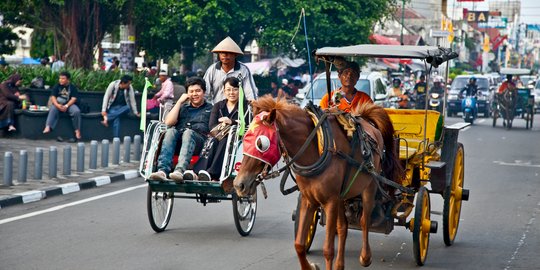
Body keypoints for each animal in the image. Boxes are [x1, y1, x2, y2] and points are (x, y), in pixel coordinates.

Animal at [234, 96, 402, 268]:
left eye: (261, 144)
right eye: (245, 138)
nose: (239, 184)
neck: (317, 150)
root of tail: (368, 123)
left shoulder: (330, 201)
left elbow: (328, 249)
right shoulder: (309, 200)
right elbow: (299, 244)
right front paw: (310, 266)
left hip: (370, 186)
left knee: (364, 220)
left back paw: (365, 257)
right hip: (341, 197)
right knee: (343, 227)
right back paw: (339, 265)